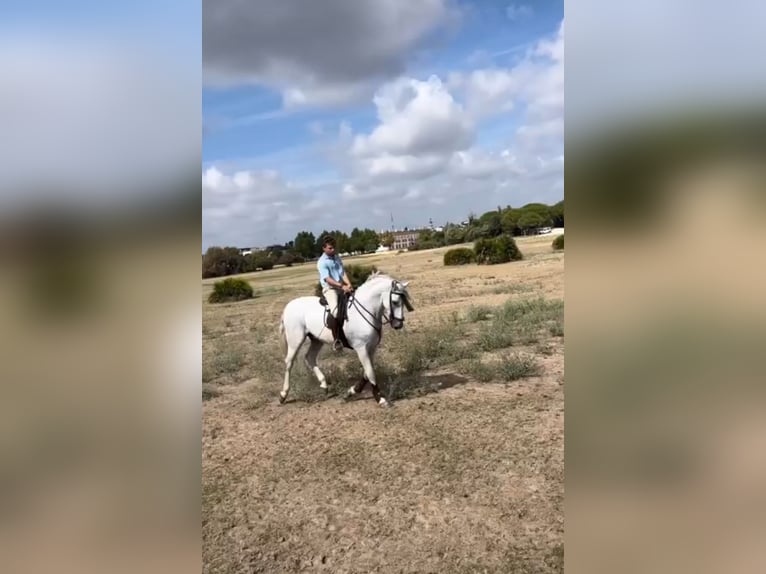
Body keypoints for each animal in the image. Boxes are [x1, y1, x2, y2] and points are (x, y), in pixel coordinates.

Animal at [280, 274, 416, 410]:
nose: (398, 325)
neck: (366, 311)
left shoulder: (371, 348)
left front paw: (351, 392)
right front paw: (381, 399)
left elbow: (367, 373)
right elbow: (370, 373)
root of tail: (288, 306)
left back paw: (324, 386)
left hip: (316, 340)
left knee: (310, 358)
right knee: (289, 362)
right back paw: (283, 394)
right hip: (295, 340)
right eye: (395, 302)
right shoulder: (361, 349)